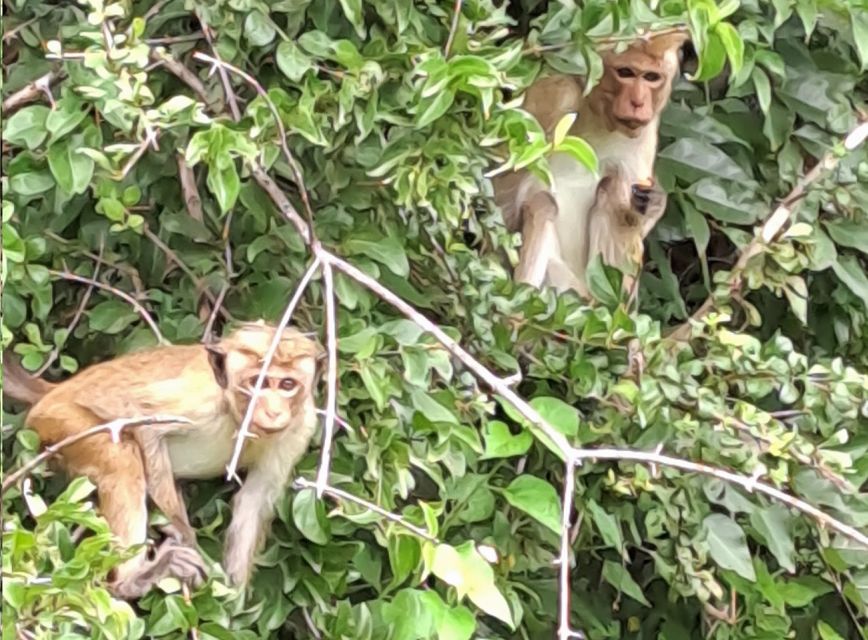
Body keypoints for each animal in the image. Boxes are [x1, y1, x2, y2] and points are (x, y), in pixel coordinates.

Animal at [3, 322, 322, 596]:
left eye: (287, 384)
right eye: (257, 382)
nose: (273, 411)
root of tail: (57, 390)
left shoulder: (300, 428)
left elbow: (254, 499)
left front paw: (233, 599)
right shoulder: (202, 399)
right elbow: (144, 423)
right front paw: (185, 537)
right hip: (58, 419)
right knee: (122, 458)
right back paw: (132, 581)